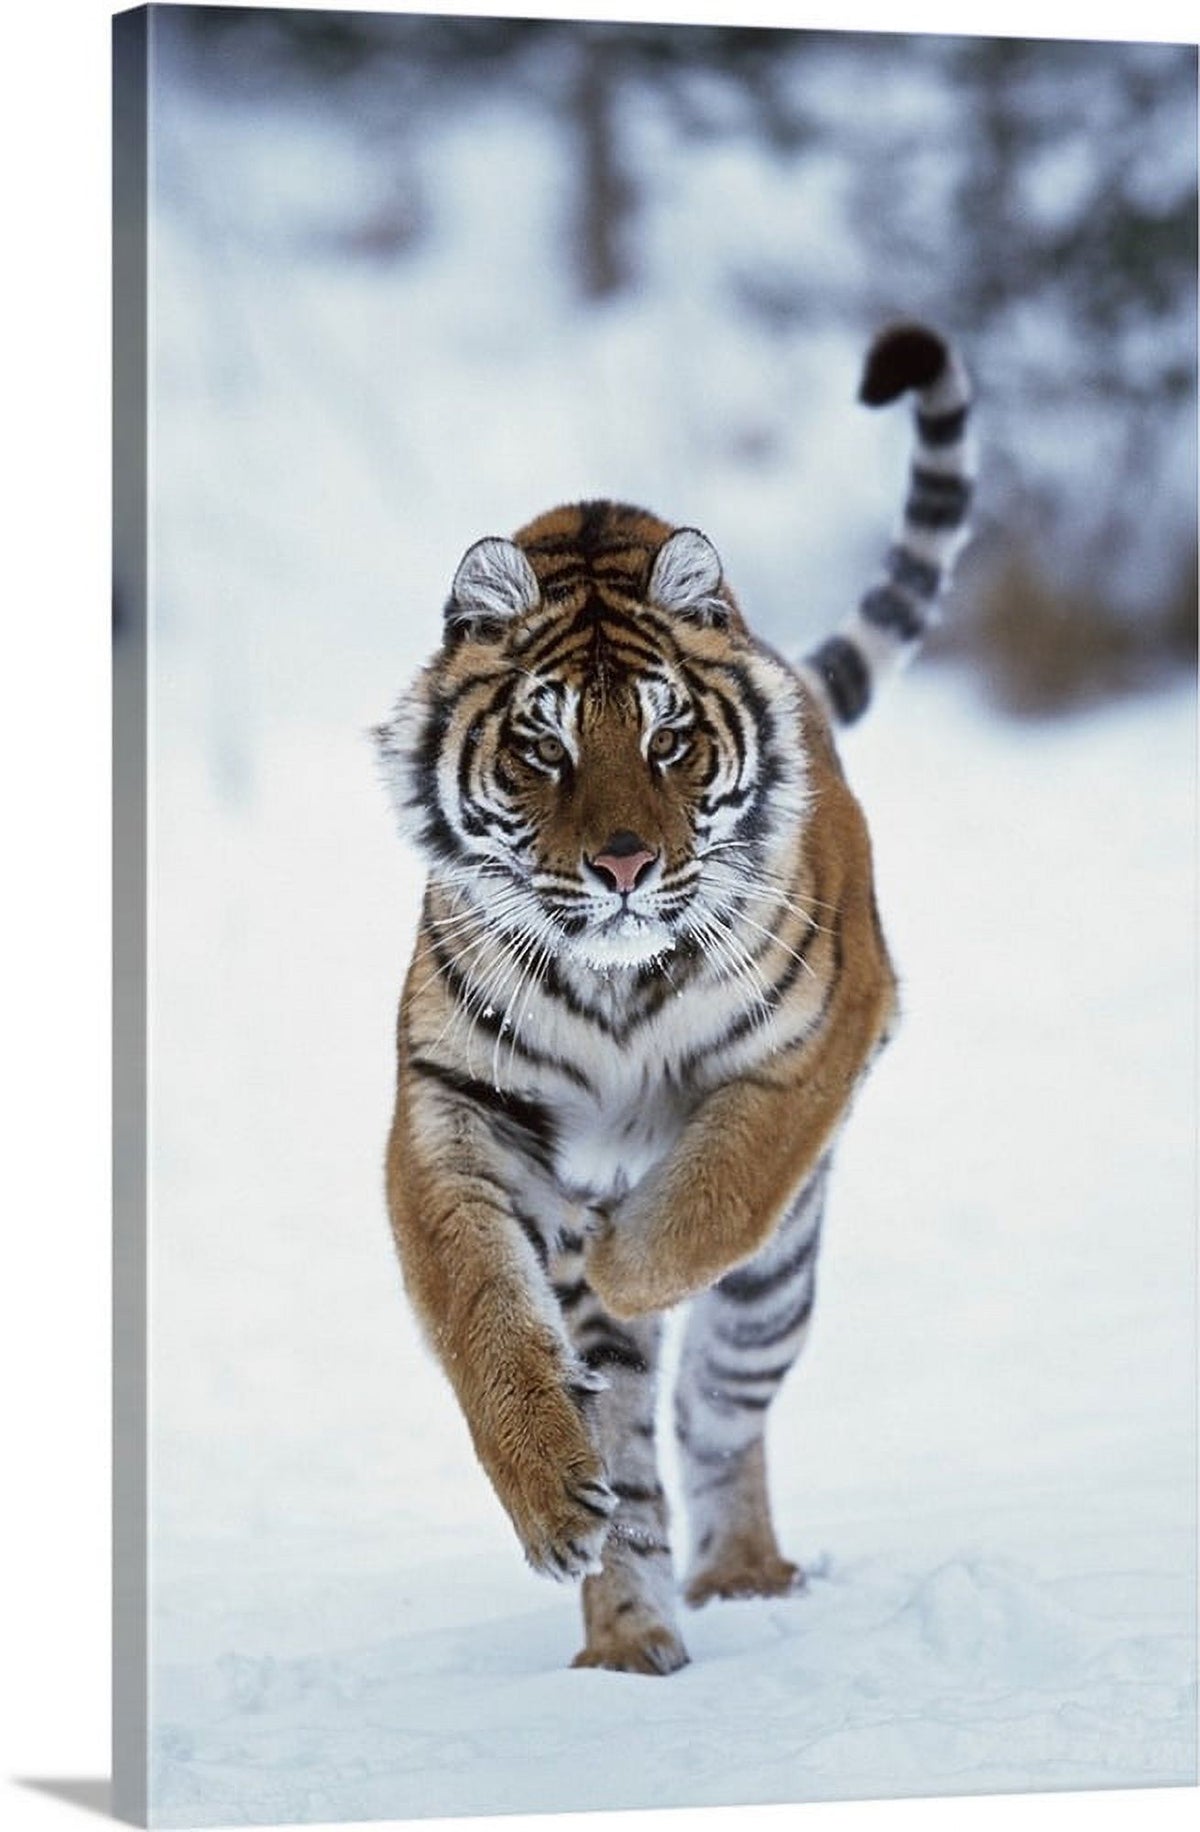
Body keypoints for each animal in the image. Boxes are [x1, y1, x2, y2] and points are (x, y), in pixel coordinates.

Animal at [374, 323, 973, 1675]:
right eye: (543, 747)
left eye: (668, 740)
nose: (624, 867)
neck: (612, 979)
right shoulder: (454, 1097)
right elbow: (479, 1304)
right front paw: (551, 1494)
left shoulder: (824, 1033)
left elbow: (717, 1187)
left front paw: (626, 1253)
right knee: (635, 1467)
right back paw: (627, 1638)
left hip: (775, 1288)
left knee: (716, 1403)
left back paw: (743, 1573)